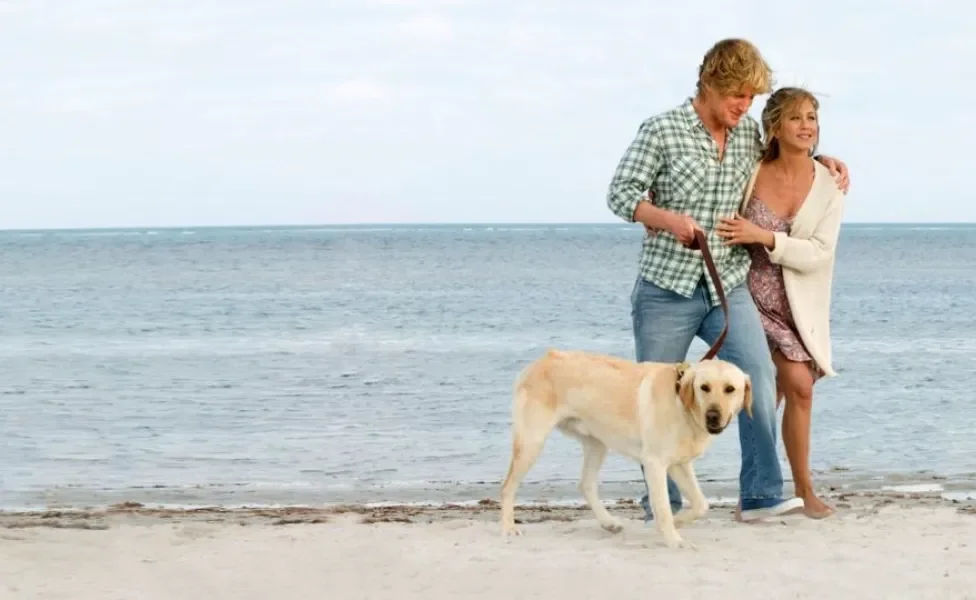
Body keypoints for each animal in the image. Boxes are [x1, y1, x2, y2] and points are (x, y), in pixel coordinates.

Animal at [500, 346, 752, 548]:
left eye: (730, 389)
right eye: (704, 387)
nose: (713, 417)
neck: (682, 404)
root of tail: (543, 359)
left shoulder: (679, 465)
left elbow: (701, 503)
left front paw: (677, 523)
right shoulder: (655, 464)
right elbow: (663, 507)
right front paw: (673, 539)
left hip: (597, 444)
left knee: (585, 484)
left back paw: (608, 522)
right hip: (532, 442)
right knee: (507, 486)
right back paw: (508, 527)